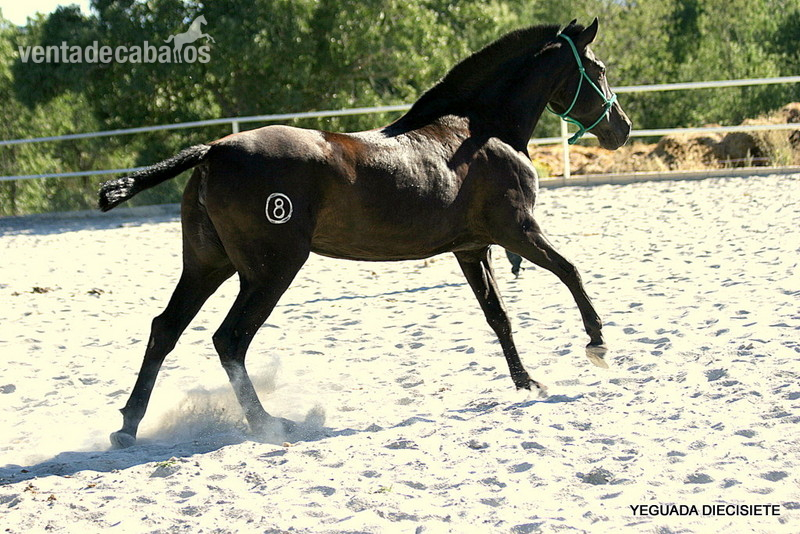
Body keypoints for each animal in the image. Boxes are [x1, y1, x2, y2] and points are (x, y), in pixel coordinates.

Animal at [99, 19, 631, 448]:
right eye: (599, 68)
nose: (621, 129)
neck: (480, 131)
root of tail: (213, 149)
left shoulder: (473, 249)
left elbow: (498, 316)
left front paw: (528, 383)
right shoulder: (518, 230)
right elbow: (571, 271)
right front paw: (597, 346)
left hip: (208, 264)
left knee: (165, 329)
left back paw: (128, 427)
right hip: (271, 270)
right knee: (230, 339)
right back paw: (268, 424)